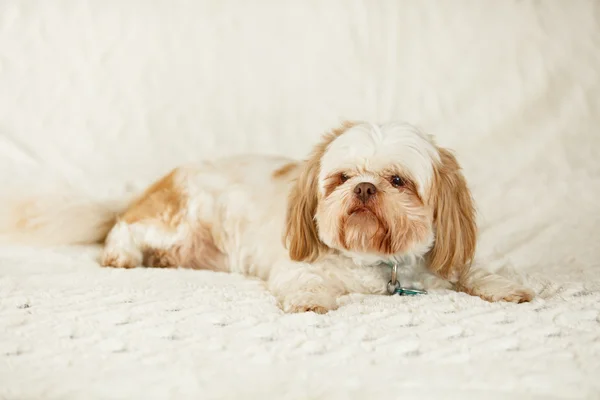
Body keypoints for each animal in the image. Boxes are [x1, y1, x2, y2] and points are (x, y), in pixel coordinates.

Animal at [0, 122, 536, 312]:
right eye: (342, 178)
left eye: (398, 181)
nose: (364, 188)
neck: (378, 261)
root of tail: (154, 186)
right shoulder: (295, 264)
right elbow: (304, 282)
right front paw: (310, 301)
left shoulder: (443, 258)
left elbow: (477, 269)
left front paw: (507, 287)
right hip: (177, 214)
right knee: (122, 229)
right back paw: (121, 255)